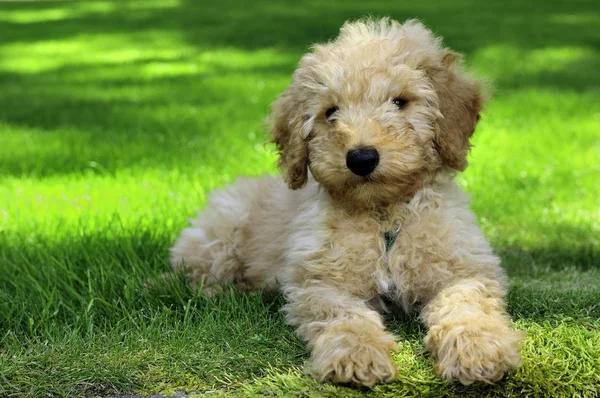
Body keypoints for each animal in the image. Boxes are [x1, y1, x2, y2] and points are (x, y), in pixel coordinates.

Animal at [168, 17, 520, 386]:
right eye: (331, 112)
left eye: (400, 102)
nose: (361, 158)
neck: (384, 216)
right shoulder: (320, 281)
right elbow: (346, 316)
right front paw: (356, 356)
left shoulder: (463, 268)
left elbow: (467, 303)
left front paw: (478, 349)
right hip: (219, 237)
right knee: (195, 277)